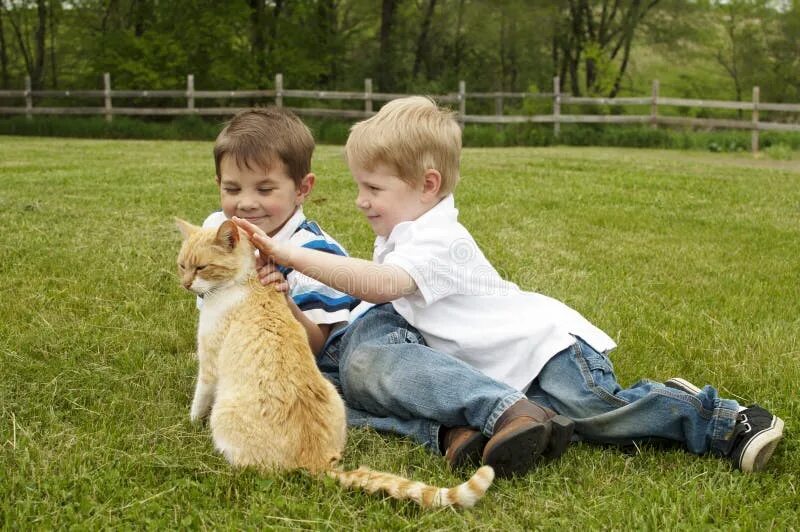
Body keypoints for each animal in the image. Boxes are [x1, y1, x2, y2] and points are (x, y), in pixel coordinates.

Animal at [175, 219, 494, 508]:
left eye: (200, 267)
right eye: (181, 266)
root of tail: (317, 460)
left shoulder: (209, 366)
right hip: (334, 394)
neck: (245, 282)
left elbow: (198, 401)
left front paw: (188, 425)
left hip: (224, 415)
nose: (185, 284)